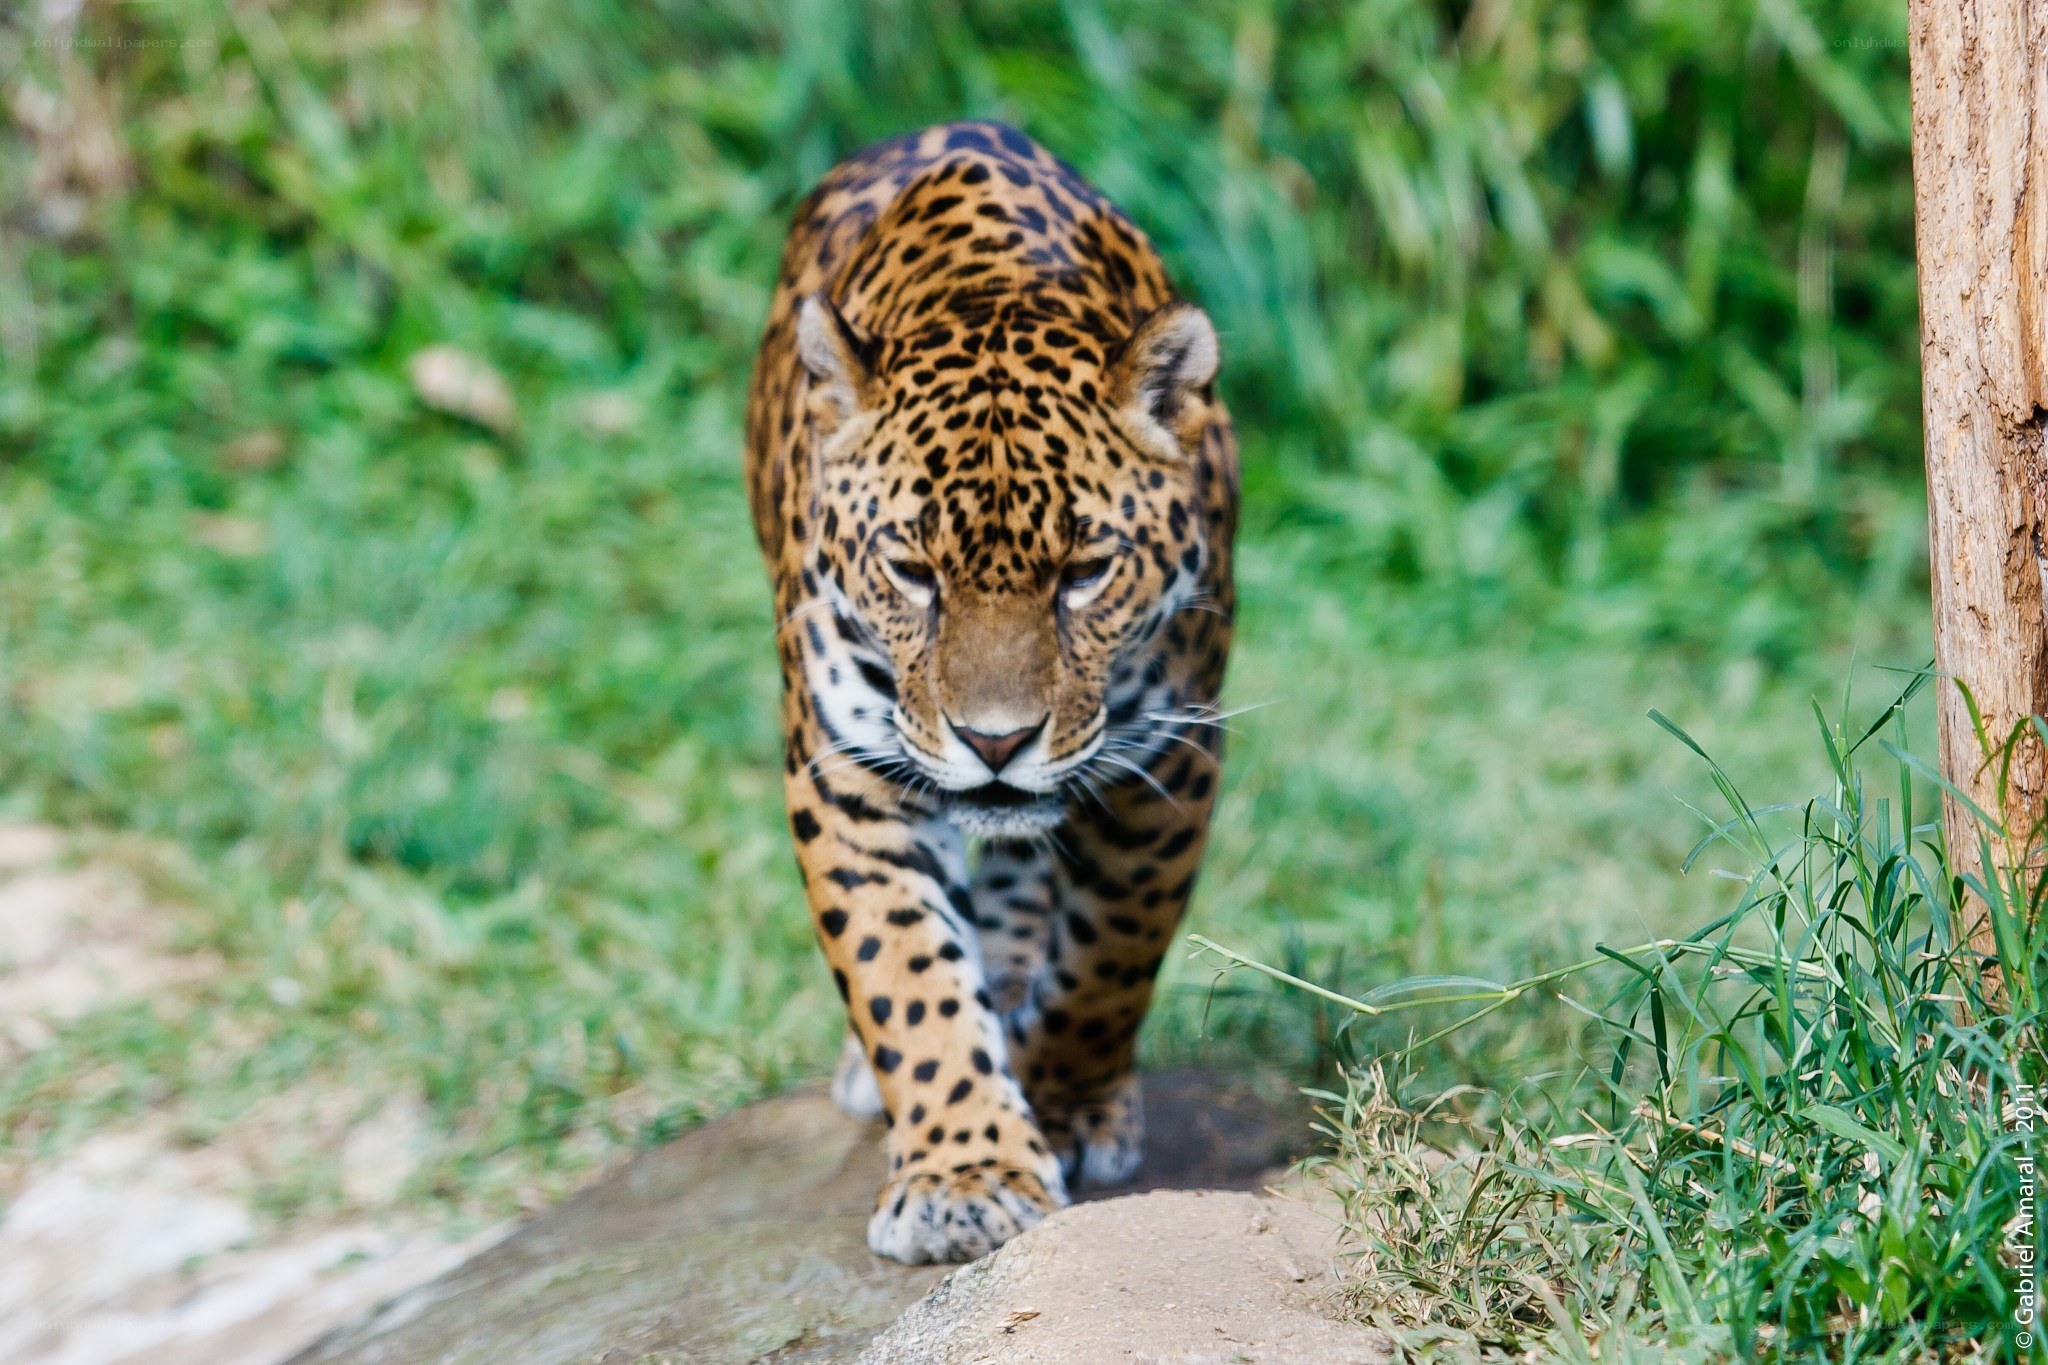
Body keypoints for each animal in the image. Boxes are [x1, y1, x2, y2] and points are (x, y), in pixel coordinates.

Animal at [743, 120, 1238, 1265]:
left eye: (1085, 571)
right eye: (912, 570)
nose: (996, 743)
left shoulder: (1170, 760)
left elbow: (1111, 954)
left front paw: (1060, 1104)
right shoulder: (845, 771)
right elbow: (905, 974)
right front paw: (965, 1173)